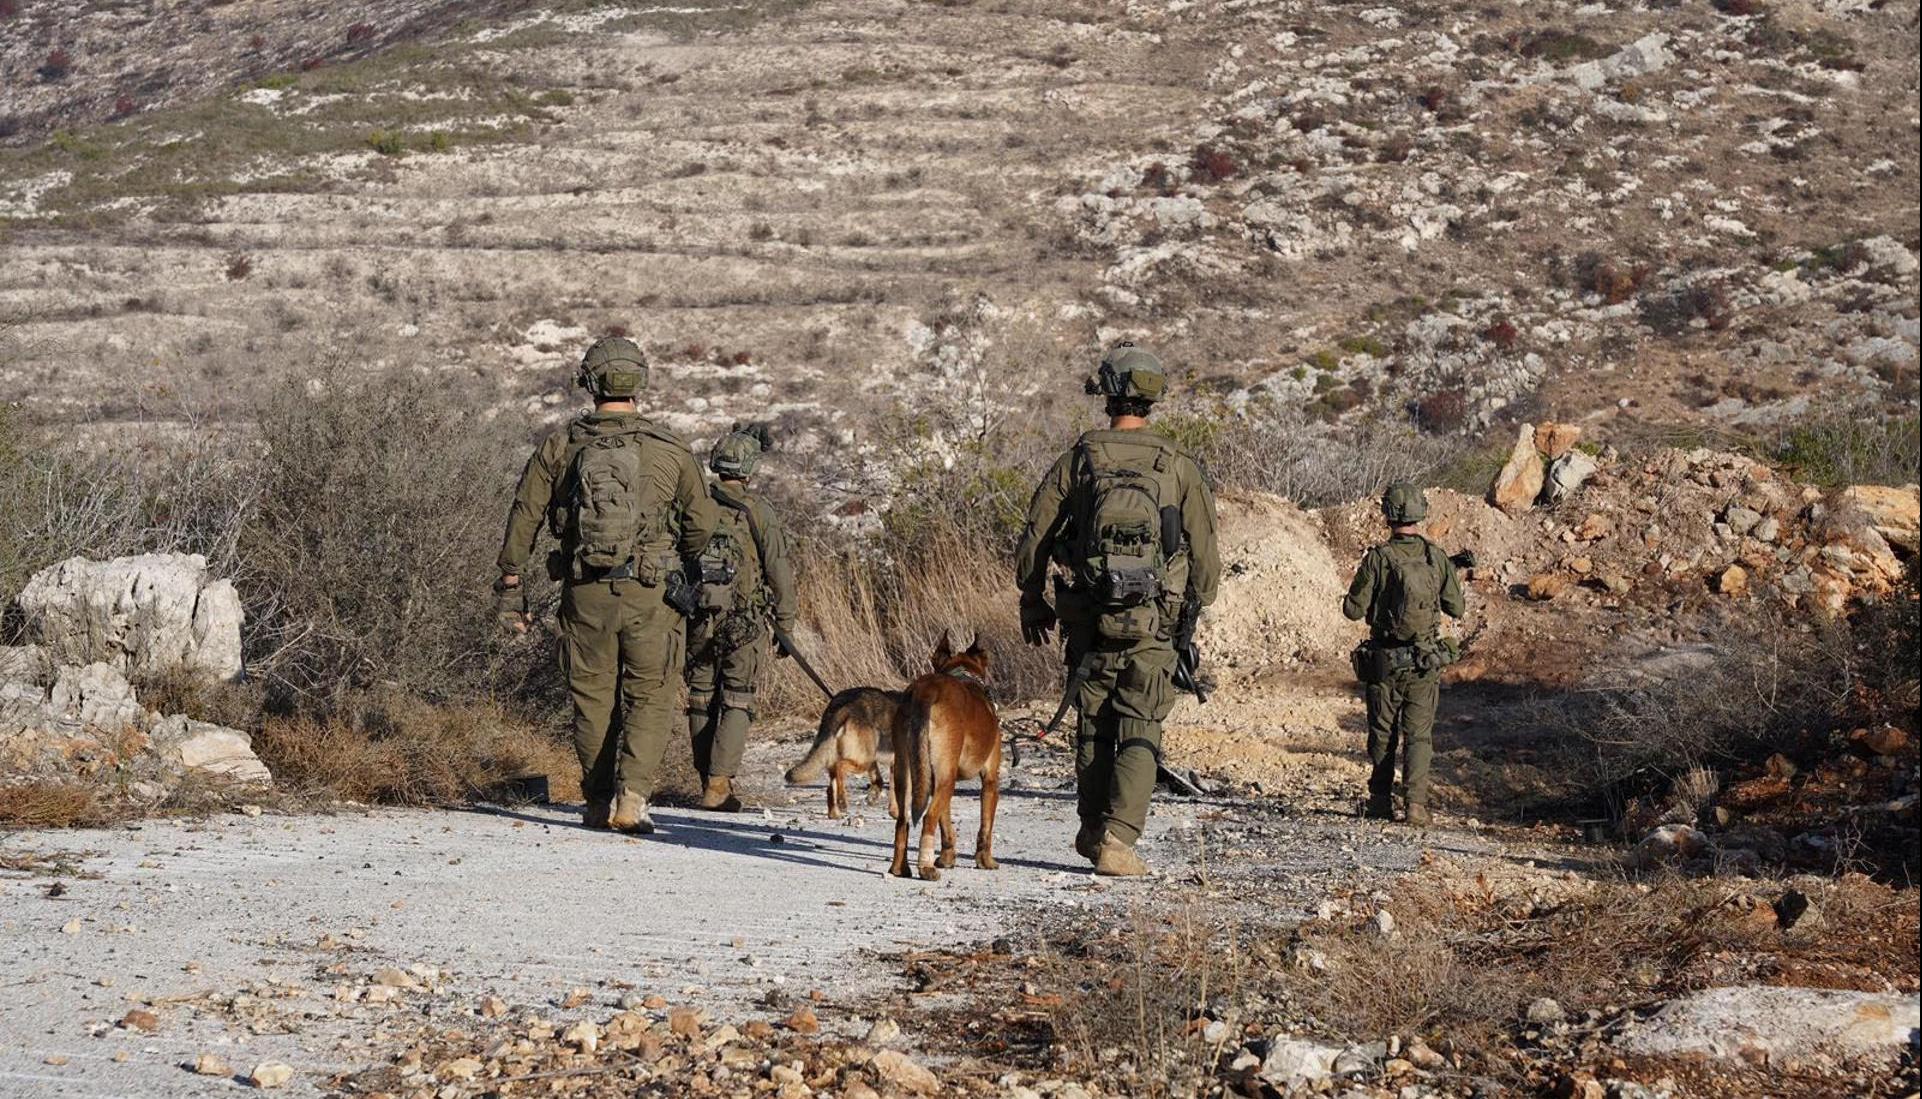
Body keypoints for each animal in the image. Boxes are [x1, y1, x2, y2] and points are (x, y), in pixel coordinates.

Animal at [887, 630, 1007, 879]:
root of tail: (926, 691)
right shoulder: (990, 780)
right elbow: (985, 827)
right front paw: (985, 860)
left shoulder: (935, 781)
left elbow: (946, 824)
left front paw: (947, 857)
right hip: (946, 778)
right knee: (928, 818)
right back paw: (925, 867)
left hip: (910, 773)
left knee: (903, 821)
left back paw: (900, 868)